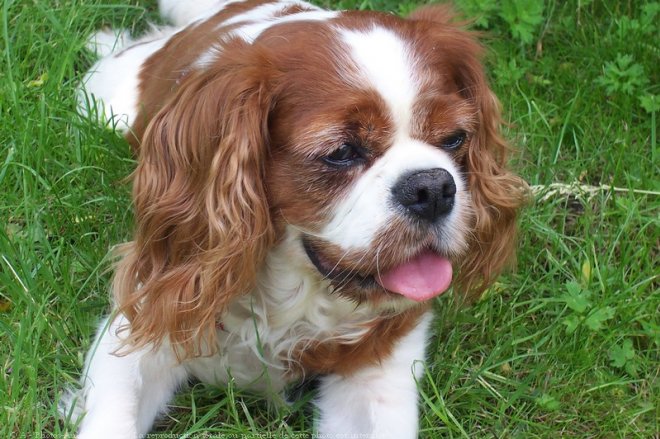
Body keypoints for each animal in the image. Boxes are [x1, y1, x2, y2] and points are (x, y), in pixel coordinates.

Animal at [63, 0, 524, 436]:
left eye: (455, 139)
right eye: (342, 152)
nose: (432, 188)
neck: (295, 291)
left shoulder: (381, 366)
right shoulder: (141, 325)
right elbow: (114, 417)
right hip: (106, 103)